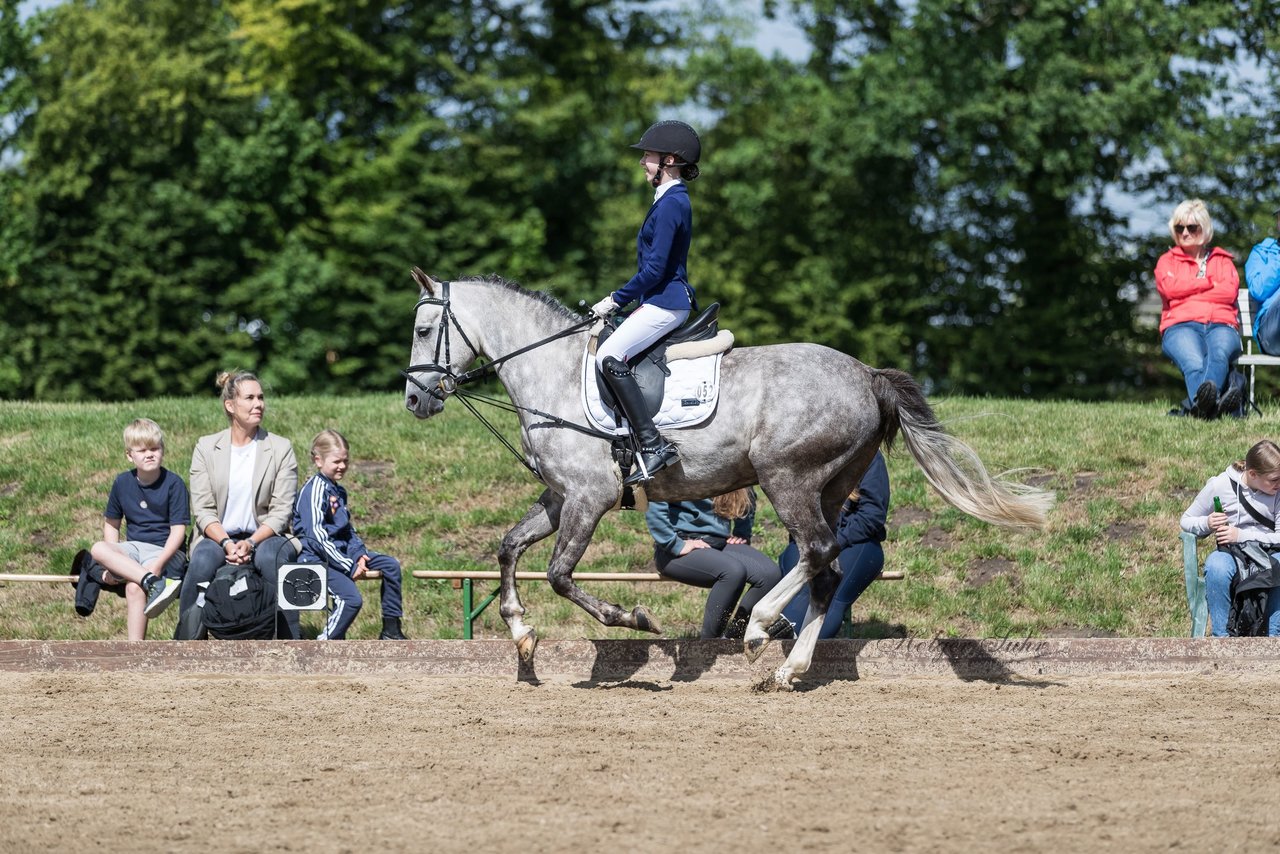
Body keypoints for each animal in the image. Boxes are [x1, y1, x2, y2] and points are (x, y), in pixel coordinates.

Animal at [404, 270, 1054, 691]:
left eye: (422, 331)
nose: (414, 400)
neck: (554, 372)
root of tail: (866, 373)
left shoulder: (588, 499)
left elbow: (562, 575)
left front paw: (632, 619)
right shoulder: (561, 497)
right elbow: (509, 547)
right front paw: (521, 634)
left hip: (787, 477)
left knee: (817, 551)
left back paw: (762, 626)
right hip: (829, 485)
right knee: (827, 565)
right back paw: (790, 669)